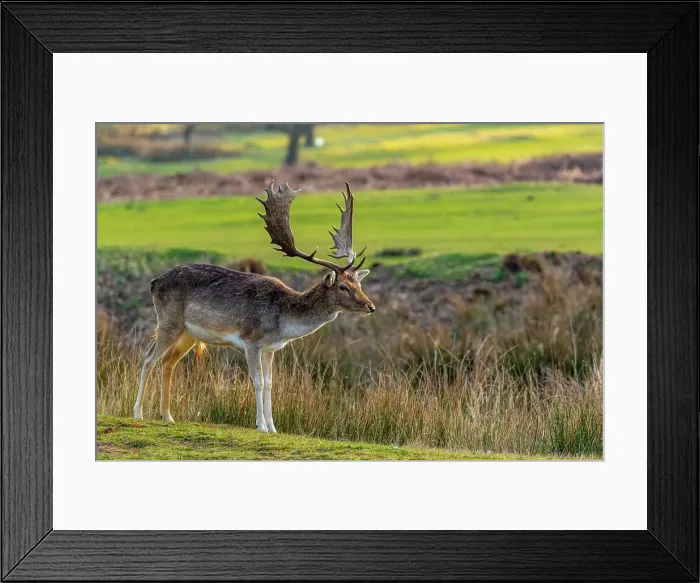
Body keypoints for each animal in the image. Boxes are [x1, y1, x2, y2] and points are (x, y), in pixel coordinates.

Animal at [133, 181, 375, 433]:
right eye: (343, 287)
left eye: (359, 283)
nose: (371, 306)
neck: (281, 322)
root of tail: (154, 283)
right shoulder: (251, 340)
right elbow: (257, 381)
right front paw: (260, 425)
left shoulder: (271, 349)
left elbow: (269, 384)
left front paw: (273, 428)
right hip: (168, 322)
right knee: (148, 358)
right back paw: (138, 413)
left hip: (188, 334)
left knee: (167, 362)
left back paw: (167, 416)